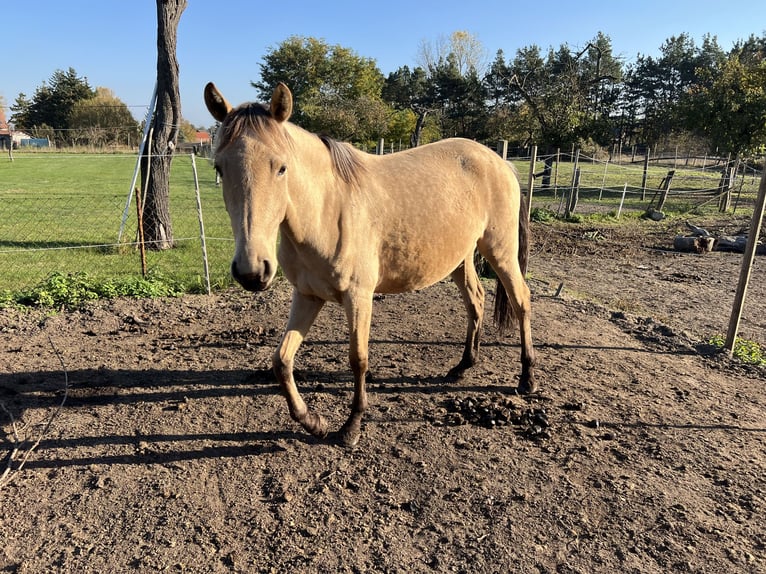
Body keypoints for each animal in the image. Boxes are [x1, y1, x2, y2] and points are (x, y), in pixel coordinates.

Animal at [206, 82, 540, 450]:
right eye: (219, 168)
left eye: (281, 167)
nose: (252, 271)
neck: (327, 212)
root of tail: (500, 162)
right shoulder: (308, 296)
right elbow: (281, 361)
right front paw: (314, 422)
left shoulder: (358, 297)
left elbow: (358, 359)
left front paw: (351, 427)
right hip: (461, 258)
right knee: (476, 301)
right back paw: (463, 367)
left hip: (501, 253)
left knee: (521, 301)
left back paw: (527, 378)